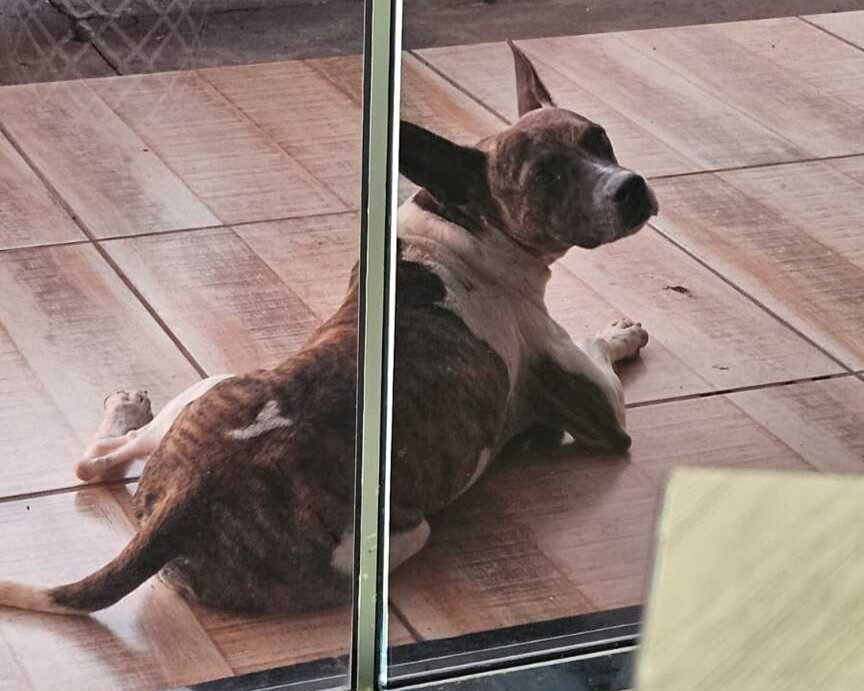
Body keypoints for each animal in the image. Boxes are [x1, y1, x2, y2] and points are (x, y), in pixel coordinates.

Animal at [0, 42, 657, 615]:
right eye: (545, 178)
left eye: (598, 137)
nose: (631, 187)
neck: (464, 223)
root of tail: (182, 508)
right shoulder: (603, 416)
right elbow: (599, 355)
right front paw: (620, 331)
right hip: (403, 532)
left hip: (212, 387)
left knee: (95, 462)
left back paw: (126, 407)